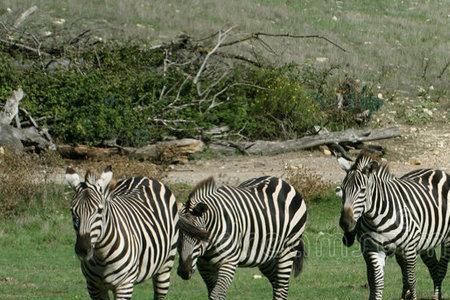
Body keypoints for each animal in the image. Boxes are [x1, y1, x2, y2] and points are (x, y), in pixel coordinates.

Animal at [65, 166, 178, 300]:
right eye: (72, 211)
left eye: (100, 210)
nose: (83, 250)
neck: (101, 256)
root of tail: (145, 178)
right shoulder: (93, 287)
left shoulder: (124, 285)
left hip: (166, 265)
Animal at [176, 176, 306, 300]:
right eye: (178, 236)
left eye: (200, 236)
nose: (184, 272)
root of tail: (279, 180)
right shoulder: (204, 266)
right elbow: (211, 293)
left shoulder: (229, 262)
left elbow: (217, 295)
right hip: (266, 256)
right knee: (276, 281)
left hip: (288, 248)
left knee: (281, 286)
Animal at [336, 152, 450, 300]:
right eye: (343, 189)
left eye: (362, 190)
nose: (345, 223)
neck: (375, 219)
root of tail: (437, 170)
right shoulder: (372, 249)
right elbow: (377, 281)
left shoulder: (409, 248)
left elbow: (412, 280)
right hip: (426, 243)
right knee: (433, 268)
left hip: (446, 239)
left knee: (441, 268)